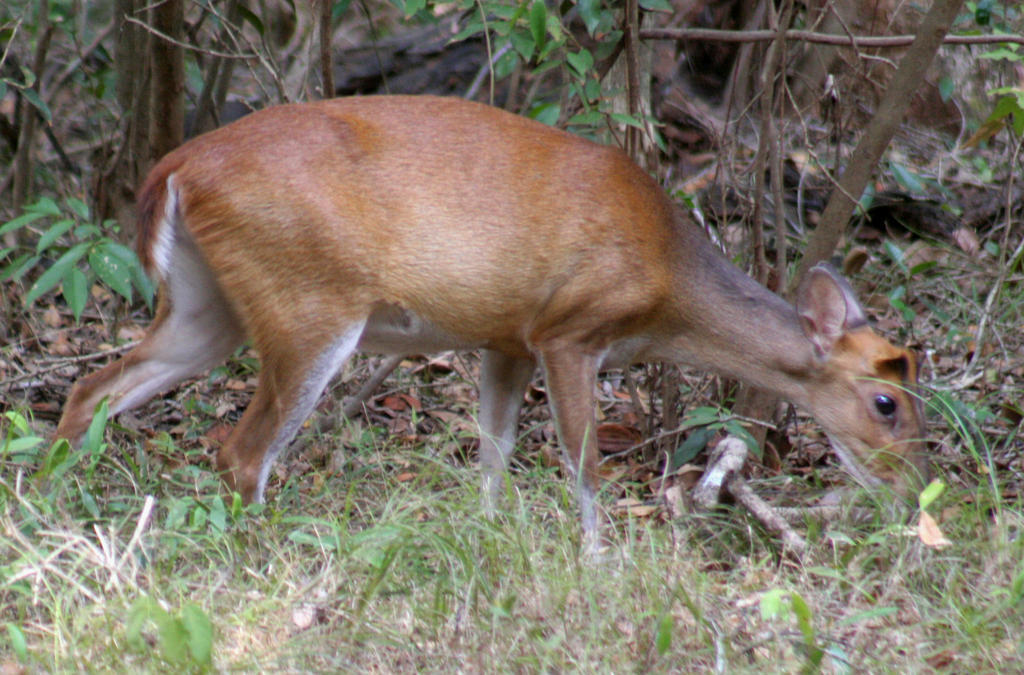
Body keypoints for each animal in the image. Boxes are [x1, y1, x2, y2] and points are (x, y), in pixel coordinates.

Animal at [54, 96, 929, 549]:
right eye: (887, 403)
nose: (916, 490)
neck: (670, 283)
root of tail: (176, 168)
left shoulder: (508, 337)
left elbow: (492, 454)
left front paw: (486, 536)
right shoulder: (570, 328)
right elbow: (583, 462)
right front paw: (597, 562)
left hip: (210, 306)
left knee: (94, 388)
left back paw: (49, 496)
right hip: (309, 302)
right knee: (240, 449)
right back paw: (267, 549)